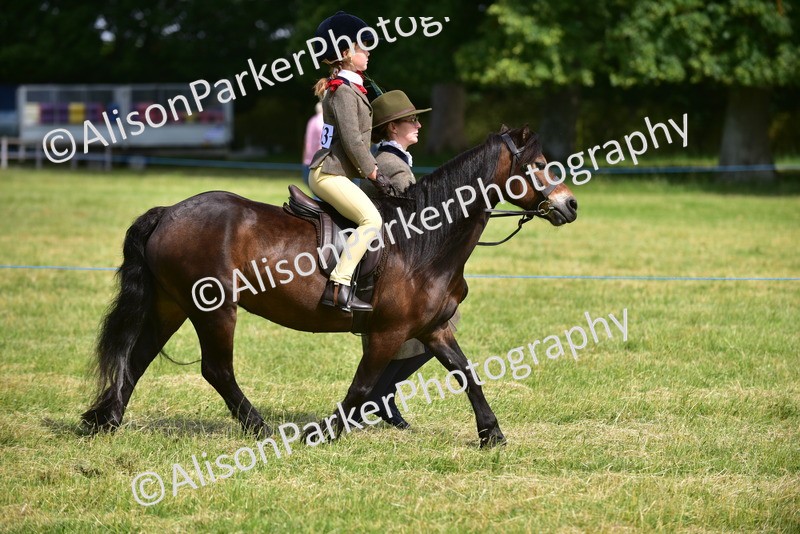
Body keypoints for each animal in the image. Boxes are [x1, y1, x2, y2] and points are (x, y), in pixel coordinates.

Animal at [82, 125, 578, 448]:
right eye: (538, 165)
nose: (570, 205)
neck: (423, 240)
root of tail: (169, 212)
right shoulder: (387, 334)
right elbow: (361, 388)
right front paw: (320, 433)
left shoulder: (433, 329)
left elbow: (466, 374)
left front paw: (491, 433)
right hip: (214, 310)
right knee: (216, 370)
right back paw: (260, 429)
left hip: (172, 304)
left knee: (138, 357)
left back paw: (104, 420)